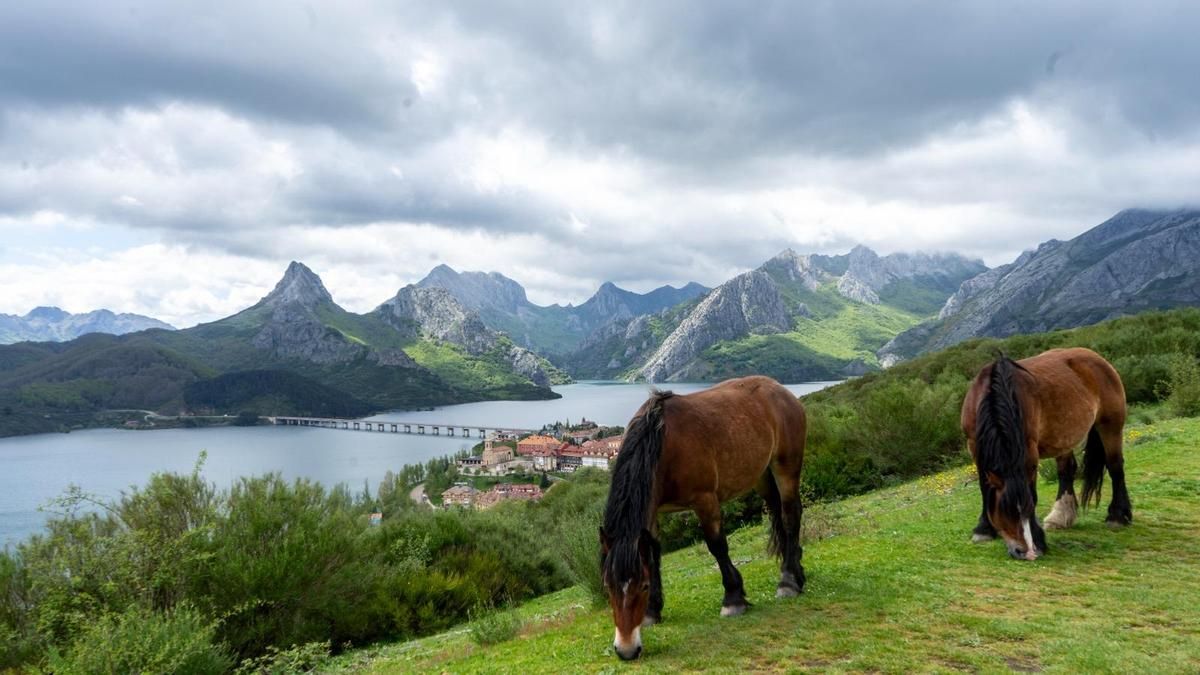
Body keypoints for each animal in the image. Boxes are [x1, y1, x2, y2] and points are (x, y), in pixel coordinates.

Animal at [598, 375, 807, 660]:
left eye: (642, 586)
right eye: (608, 587)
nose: (626, 650)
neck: (664, 444)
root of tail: (781, 390)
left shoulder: (705, 501)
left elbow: (717, 546)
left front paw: (734, 599)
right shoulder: (653, 513)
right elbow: (652, 555)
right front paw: (653, 611)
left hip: (786, 466)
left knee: (789, 516)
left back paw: (788, 581)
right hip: (762, 475)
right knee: (777, 515)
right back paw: (797, 571)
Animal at [961, 348, 1130, 561]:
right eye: (1005, 510)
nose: (1026, 552)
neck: (990, 395)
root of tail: (1096, 358)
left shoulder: (1029, 453)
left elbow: (1031, 492)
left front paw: (1038, 541)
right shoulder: (975, 448)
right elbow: (985, 489)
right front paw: (983, 530)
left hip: (1111, 426)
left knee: (1115, 466)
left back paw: (1117, 516)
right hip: (1064, 437)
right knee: (1067, 471)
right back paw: (1061, 516)